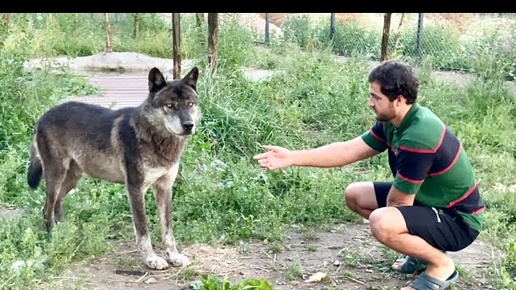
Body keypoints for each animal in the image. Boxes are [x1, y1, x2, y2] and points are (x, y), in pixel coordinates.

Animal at [26, 65, 202, 270]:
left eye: (190, 104)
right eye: (170, 105)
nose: (189, 125)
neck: (156, 139)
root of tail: (43, 116)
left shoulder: (164, 188)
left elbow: (168, 230)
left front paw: (174, 256)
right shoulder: (135, 189)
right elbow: (143, 231)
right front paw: (151, 259)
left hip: (72, 179)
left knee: (57, 204)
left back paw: (66, 233)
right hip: (56, 176)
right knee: (47, 208)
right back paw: (54, 237)